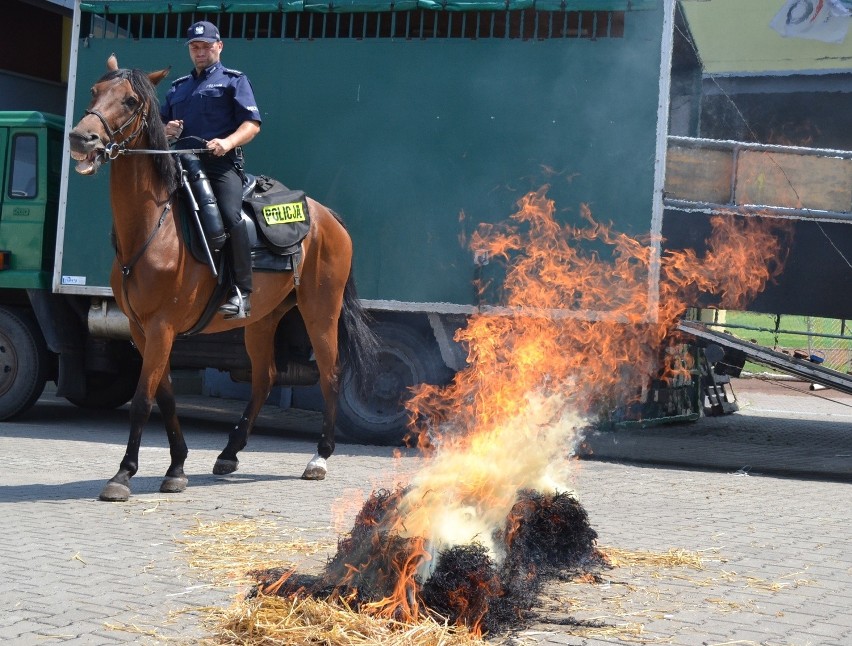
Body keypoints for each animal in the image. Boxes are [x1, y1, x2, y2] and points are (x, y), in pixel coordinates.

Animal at [71, 55, 378, 504]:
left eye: (129, 101)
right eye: (94, 91)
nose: (82, 138)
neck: (155, 227)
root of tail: (326, 216)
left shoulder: (161, 327)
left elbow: (145, 398)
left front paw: (124, 474)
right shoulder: (142, 330)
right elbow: (165, 395)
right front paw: (177, 467)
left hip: (321, 312)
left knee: (331, 375)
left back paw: (319, 458)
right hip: (262, 320)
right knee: (264, 379)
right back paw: (229, 452)